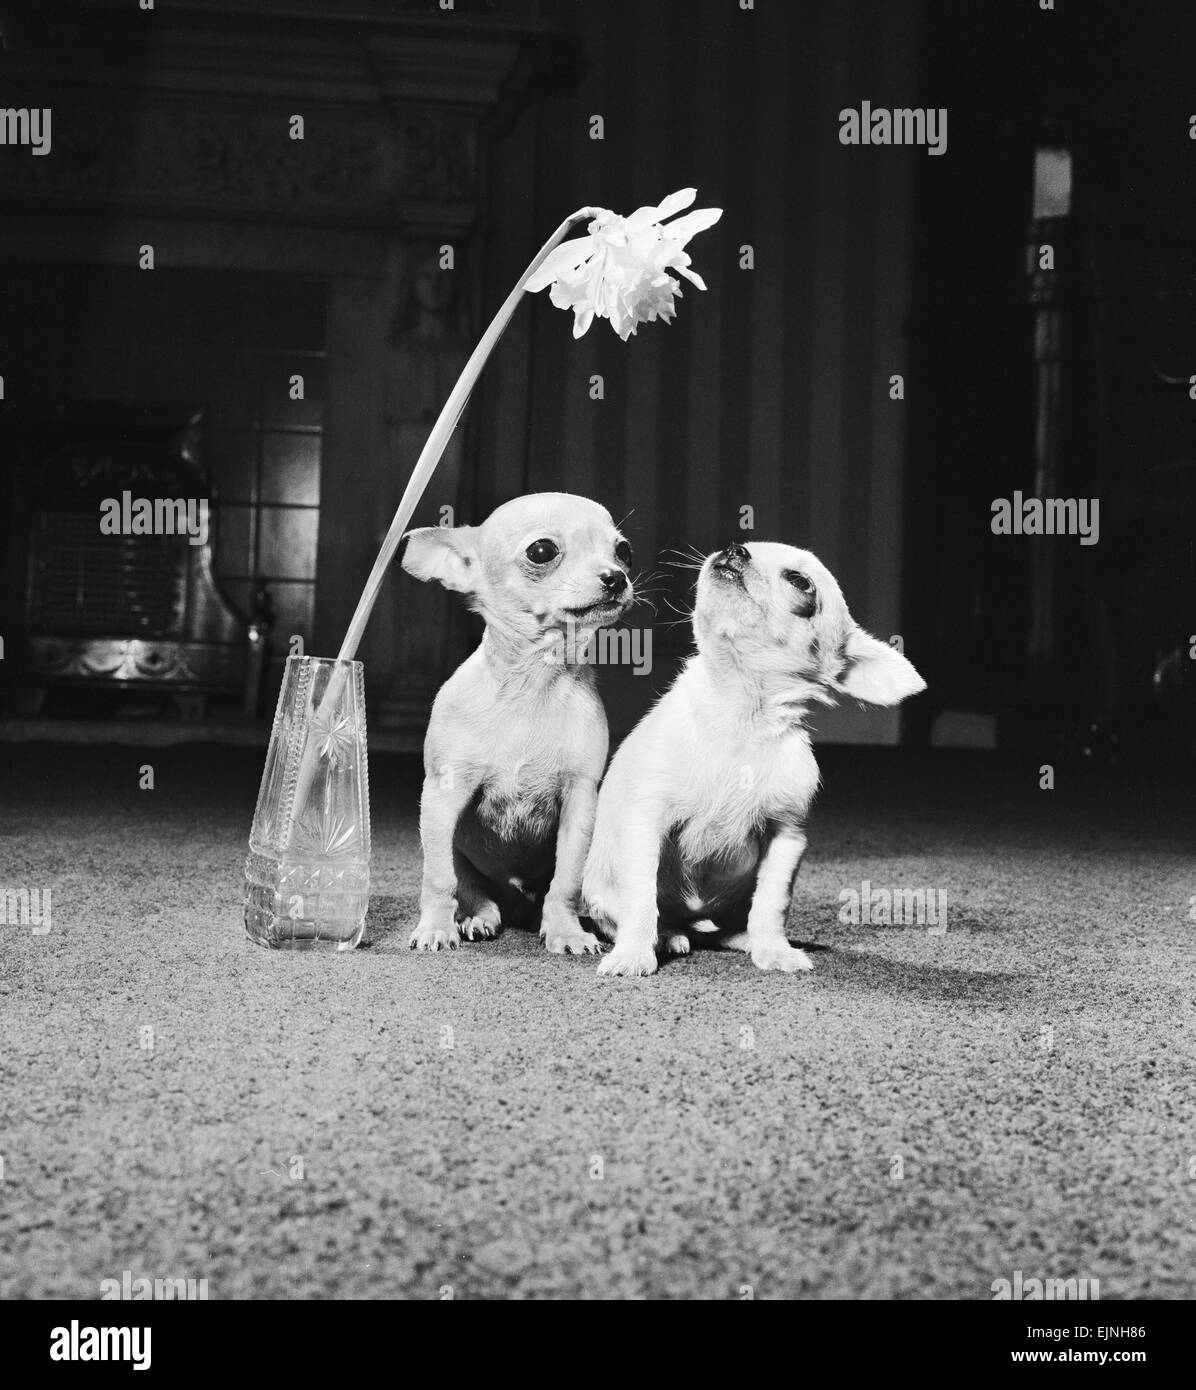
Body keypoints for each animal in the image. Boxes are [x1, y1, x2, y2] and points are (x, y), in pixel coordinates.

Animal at [400, 489, 634, 956]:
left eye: (624, 551)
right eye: (541, 551)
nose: (616, 577)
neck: (534, 683)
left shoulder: (580, 803)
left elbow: (567, 882)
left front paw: (565, 931)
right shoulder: (442, 798)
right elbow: (438, 878)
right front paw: (435, 927)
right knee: (468, 886)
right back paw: (477, 917)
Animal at [584, 539, 928, 978]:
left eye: (800, 582)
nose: (735, 548)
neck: (740, 714)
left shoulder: (787, 836)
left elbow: (771, 905)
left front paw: (773, 949)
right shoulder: (646, 821)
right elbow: (641, 898)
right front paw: (633, 953)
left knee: (725, 928)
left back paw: (741, 938)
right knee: (649, 917)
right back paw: (666, 936)